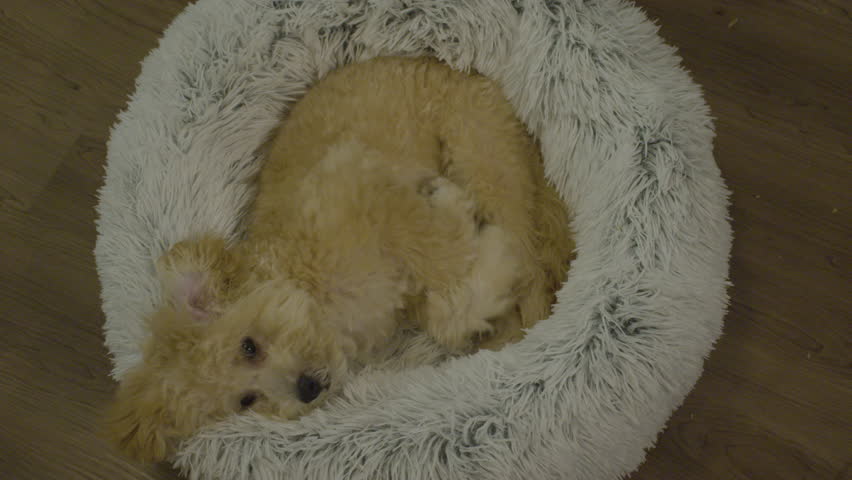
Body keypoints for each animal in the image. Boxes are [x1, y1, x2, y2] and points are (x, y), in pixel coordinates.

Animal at [105, 56, 572, 462]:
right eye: (246, 400)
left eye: (248, 346)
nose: (307, 388)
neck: (321, 297)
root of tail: (454, 68)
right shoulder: (408, 299)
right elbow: (450, 312)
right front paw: (484, 282)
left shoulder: (357, 178)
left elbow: (436, 244)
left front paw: (454, 210)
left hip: (481, 155)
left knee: (532, 266)